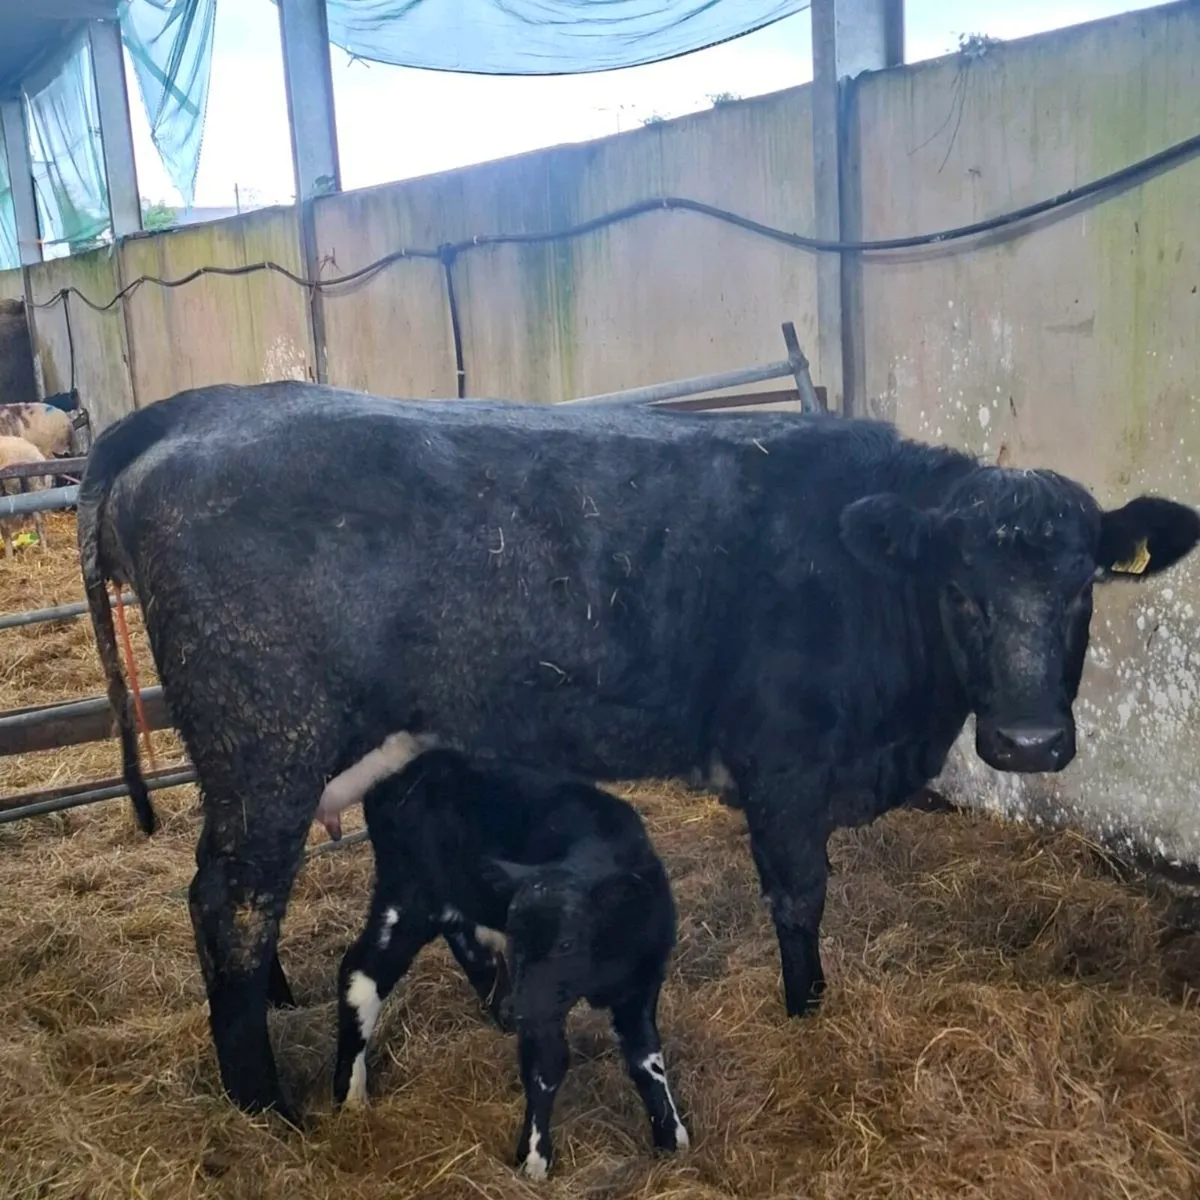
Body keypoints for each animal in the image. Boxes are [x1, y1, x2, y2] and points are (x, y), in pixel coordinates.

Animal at [78, 381, 1200, 1125]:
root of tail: (202, 410)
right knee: (230, 903)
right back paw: (264, 1103)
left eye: (1082, 592)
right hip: (265, 741)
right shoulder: (784, 767)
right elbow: (799, 898)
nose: (1029, 741)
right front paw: (807, 1013)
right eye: (961, 591)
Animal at [333, 743, 685, 1179]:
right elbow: (546, 1065)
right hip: (410, 891)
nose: (517, 1008)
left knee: (461, 940)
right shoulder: (541, 1003)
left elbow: (645, 1057)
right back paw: (351, 1095)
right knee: (362, 973)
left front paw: (672, 1137)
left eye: (567, 943)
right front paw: (534, 1159)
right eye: (517, 935)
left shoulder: (641, 983)